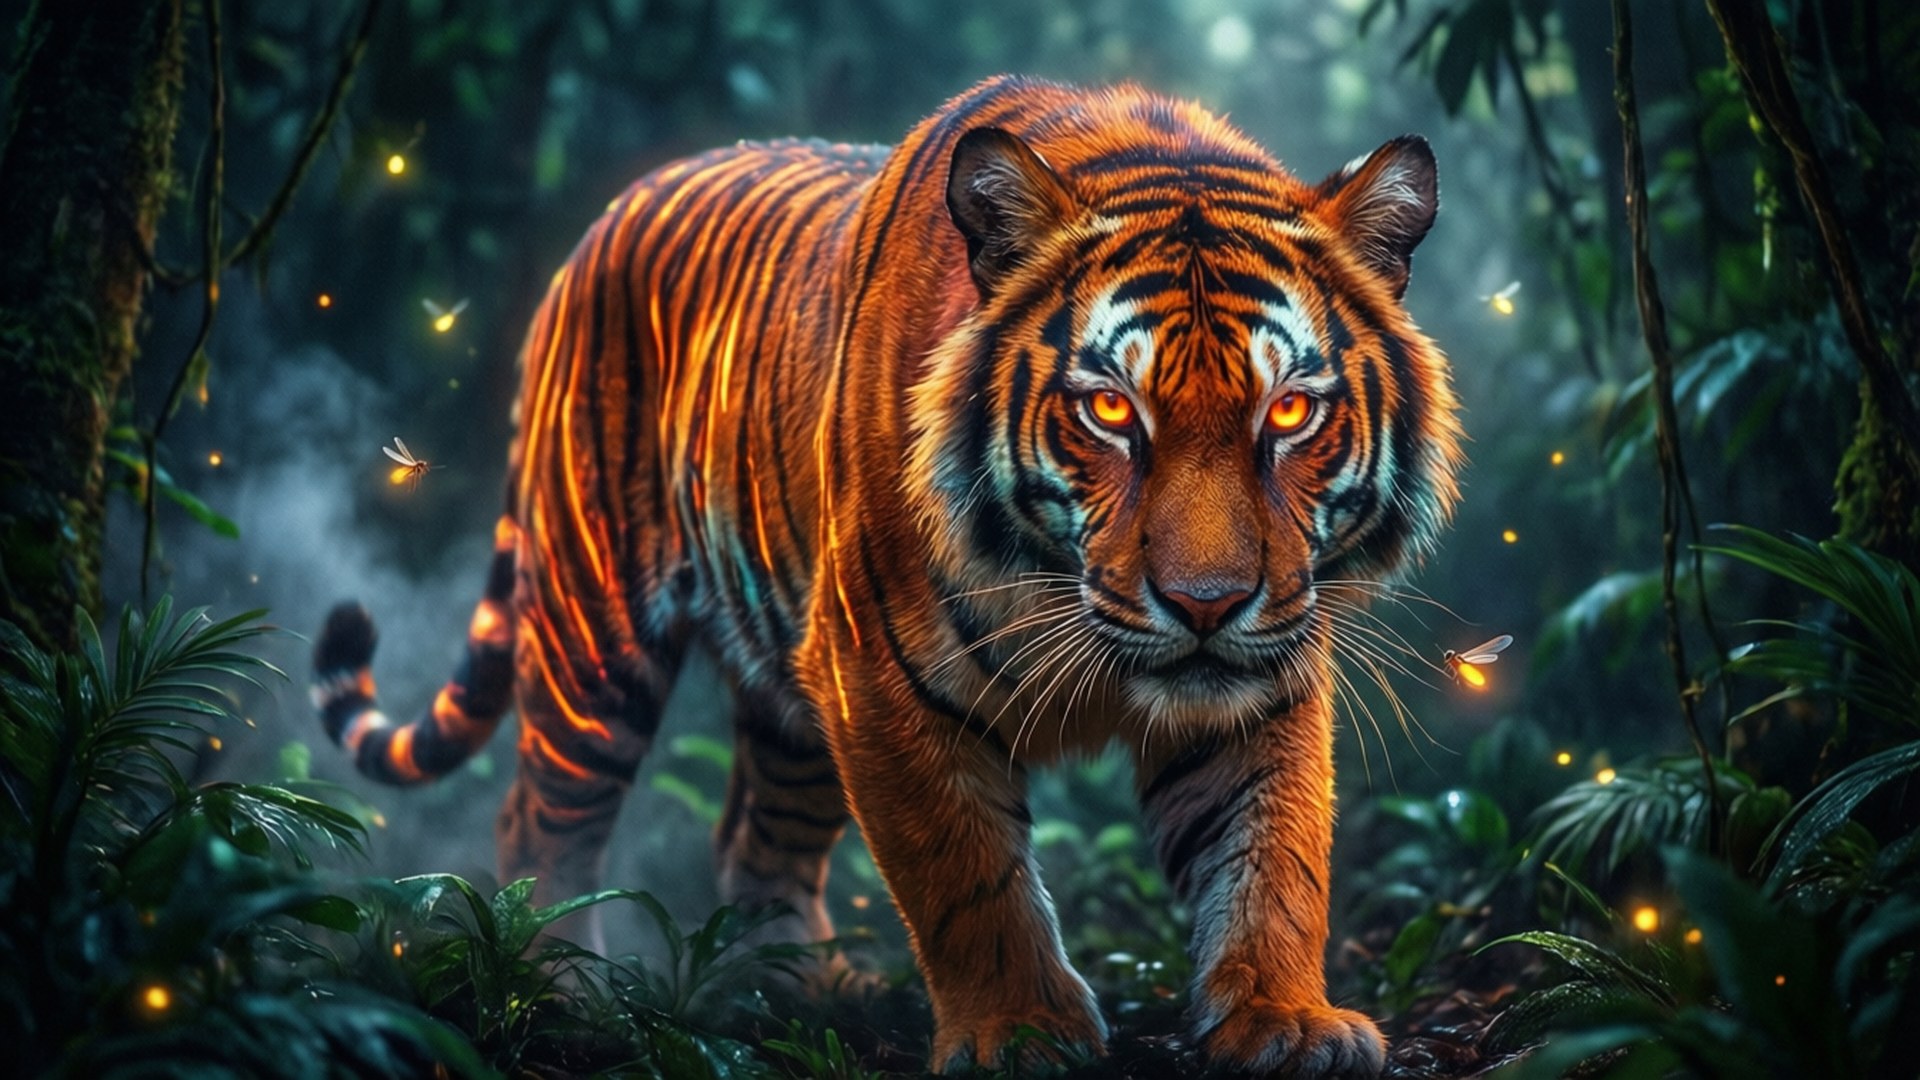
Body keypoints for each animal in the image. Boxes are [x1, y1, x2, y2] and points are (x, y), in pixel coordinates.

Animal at [312, 75, 1461, 1076]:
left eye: (1290, 411)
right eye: (1110, 410)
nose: (1207, 606)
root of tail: (603, 222)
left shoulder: (1260, 685)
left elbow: (1273, 857)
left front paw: (1282, 1019)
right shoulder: (881, 677)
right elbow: (967, 877)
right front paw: (1019, 1032)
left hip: (791, 696)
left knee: (754, 836)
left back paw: (801, 984)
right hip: (596, 635)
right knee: (543, 812)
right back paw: (556, 989)